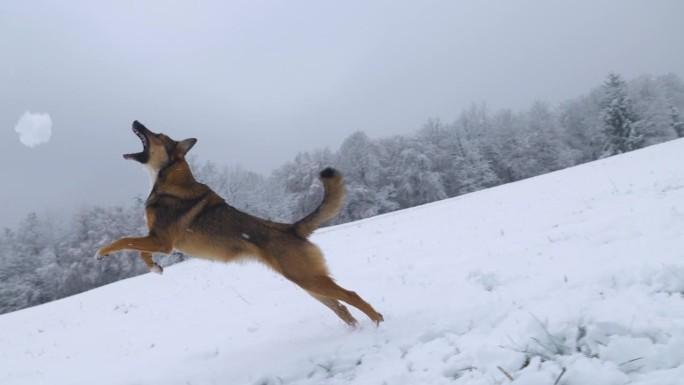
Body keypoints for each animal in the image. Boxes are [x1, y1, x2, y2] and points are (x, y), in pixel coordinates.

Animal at [95, 119, 384, 324]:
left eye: (157, 135)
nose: (136, 121)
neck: (168, 179)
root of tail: (291, 228)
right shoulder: (157, 240)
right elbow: (141, 252)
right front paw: (155, 268)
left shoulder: (162, 241)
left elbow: (124, 240)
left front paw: (101, 252)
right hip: (309, 284)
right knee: (342, 309)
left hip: (310, 280)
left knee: (352, 296)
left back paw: (378, 323)